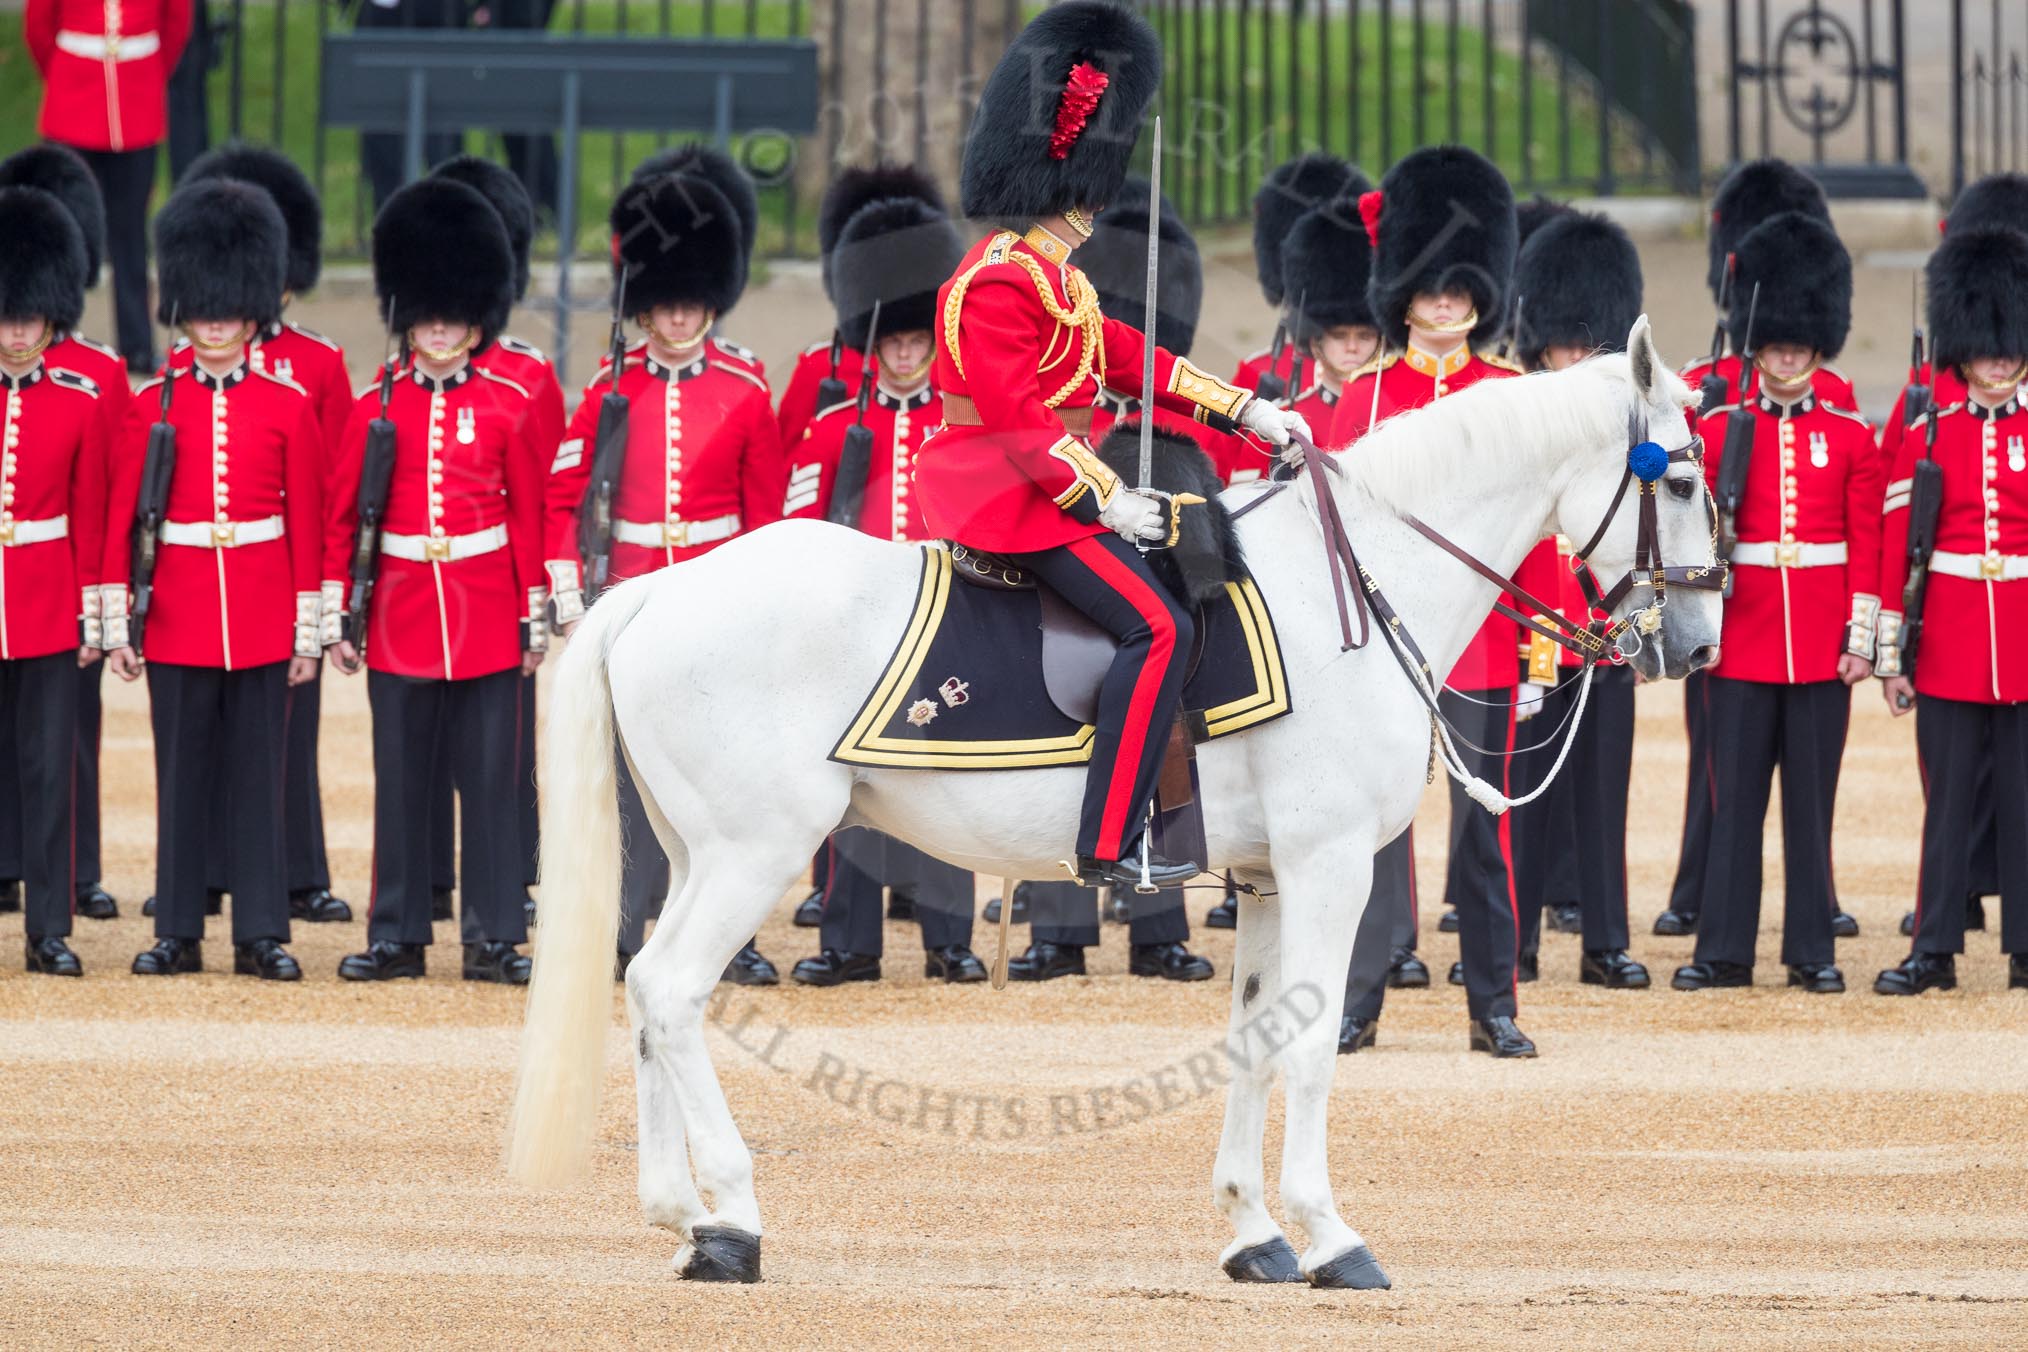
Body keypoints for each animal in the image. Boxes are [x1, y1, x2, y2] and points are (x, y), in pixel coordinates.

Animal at [515, 318, 1719, 1289]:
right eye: (1681, 480)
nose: (1698, 644)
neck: (1351, 587)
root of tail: (658, 589)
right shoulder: (1328, 863)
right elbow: (1313, 1043)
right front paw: (1331, 1235)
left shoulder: (1266, 877)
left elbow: (1251, 1041)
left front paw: (1254, 1235)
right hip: (756, 849)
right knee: (671, 989)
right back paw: (734, 1216)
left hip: (694, 851)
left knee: (645, 987)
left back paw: (685, 1219)